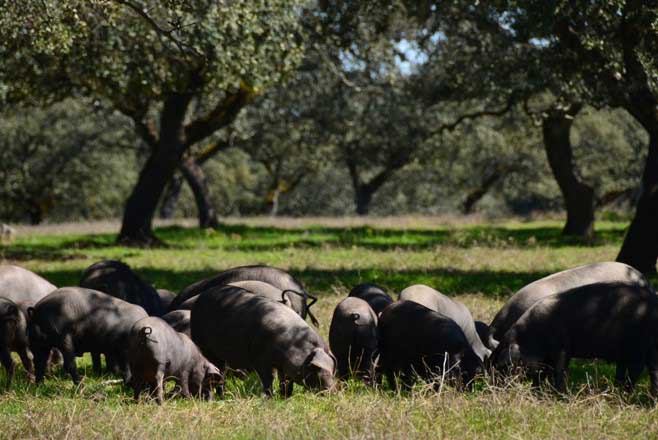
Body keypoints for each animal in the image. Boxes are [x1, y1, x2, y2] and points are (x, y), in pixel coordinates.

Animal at [190, 284, 334, 398]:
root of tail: (202, 296)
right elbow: (268, 378)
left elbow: (285, 381)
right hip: (203, 343)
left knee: (221, 372)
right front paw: (270, 397)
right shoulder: (260, 359)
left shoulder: (284, 366)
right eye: (316, 368)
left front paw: (285, 397)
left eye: (332, 370)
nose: (331, 392)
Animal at [494, 284, 656, 394]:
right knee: (651, 370)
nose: (493, 387)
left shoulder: (561, 347)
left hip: (637, 345)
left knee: (636, 369)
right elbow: (543, 374)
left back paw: (624, 394)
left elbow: (559, 370)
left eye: (503, 366)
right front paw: (539, 391)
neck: (530, 336)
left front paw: (559, 395)